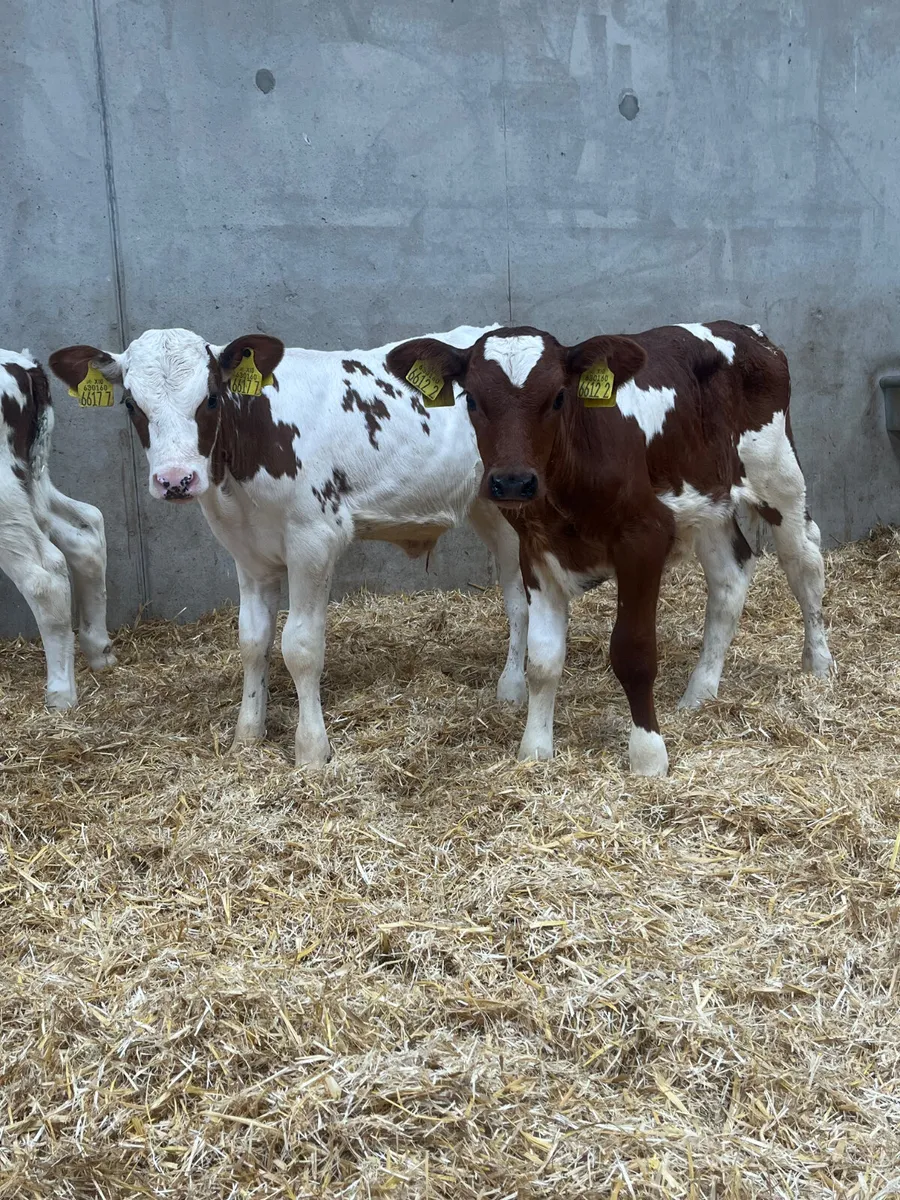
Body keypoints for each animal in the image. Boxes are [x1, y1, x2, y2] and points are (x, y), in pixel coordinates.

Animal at [0, 350, 114, 708]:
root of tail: (23, 364)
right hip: (33, 479)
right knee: (87, 529)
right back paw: (99, 650)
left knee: (44, 575)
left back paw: (61, 692)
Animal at [49, 325, 527, 764]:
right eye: (131, 404)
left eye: (210, 399)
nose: (175, 480)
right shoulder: (247, 551)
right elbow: (251, 640)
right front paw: (247, 735)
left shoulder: (315, 539)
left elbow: (300, 646)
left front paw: (311, 750)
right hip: (484, 507)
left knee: (518, 603)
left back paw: (513, 685)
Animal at [386, 321, 833, 776]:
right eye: (472, 399)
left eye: (558, 397)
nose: (512, 482)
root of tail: (746, 332)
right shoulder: (535, 550)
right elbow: (543, 660)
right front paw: (535, 749)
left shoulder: (644, 539)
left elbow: (633, 652)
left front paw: (648, 756)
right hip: (708, 502)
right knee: (731, 576)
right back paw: (700, 692)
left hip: (778, 475)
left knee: (804, 562)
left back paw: (817, 666)